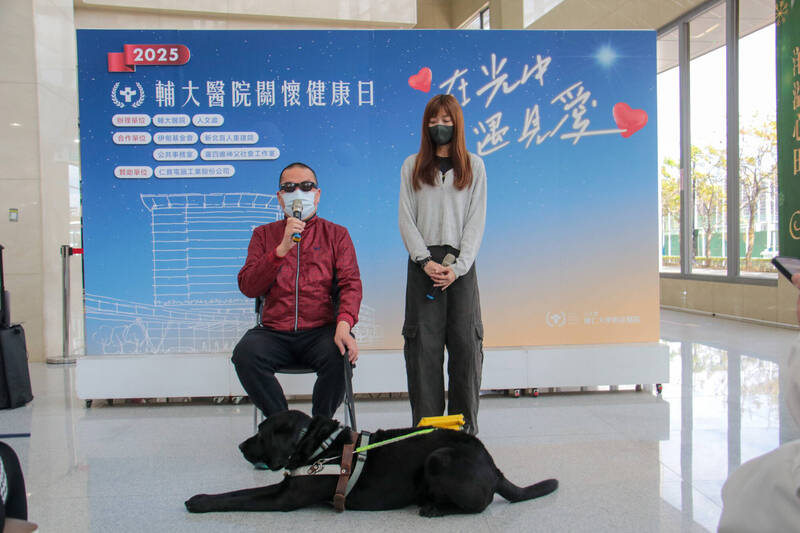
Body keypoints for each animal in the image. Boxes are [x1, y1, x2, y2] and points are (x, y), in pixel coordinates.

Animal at [185, 410, 558, 516]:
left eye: (260, 433)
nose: (240, 445)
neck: (318, 446)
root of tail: (494, 466)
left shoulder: (284, 498)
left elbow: (238, 497)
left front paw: (199, 502)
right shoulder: (284, 486)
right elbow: (239, 491)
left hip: (439, 458)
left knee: (478, 506)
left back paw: (434, 509)